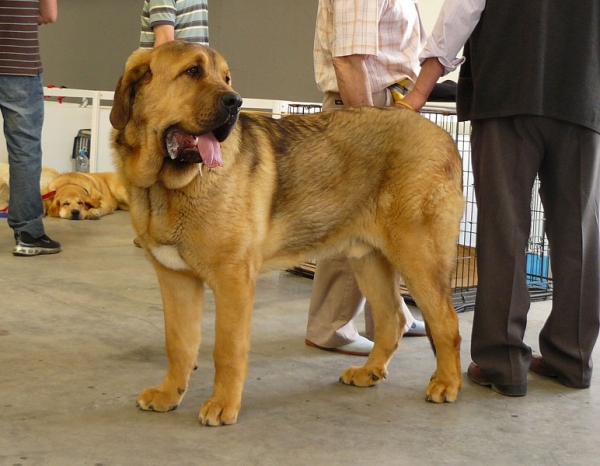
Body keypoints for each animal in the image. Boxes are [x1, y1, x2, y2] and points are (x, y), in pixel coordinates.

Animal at [110, 42, 466, 426]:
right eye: (192, 72)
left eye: (226, 79)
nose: (236, 102)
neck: (164, 185)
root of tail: (444, 136)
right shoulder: (175, 278)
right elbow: (178, 342)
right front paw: (168, 395)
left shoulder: (233, 280)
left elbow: (227, 348)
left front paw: (223, 404)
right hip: (369, 260)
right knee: (392, 319)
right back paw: (369, 372)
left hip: (419, 257)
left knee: (446, 323)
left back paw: (446, 384)